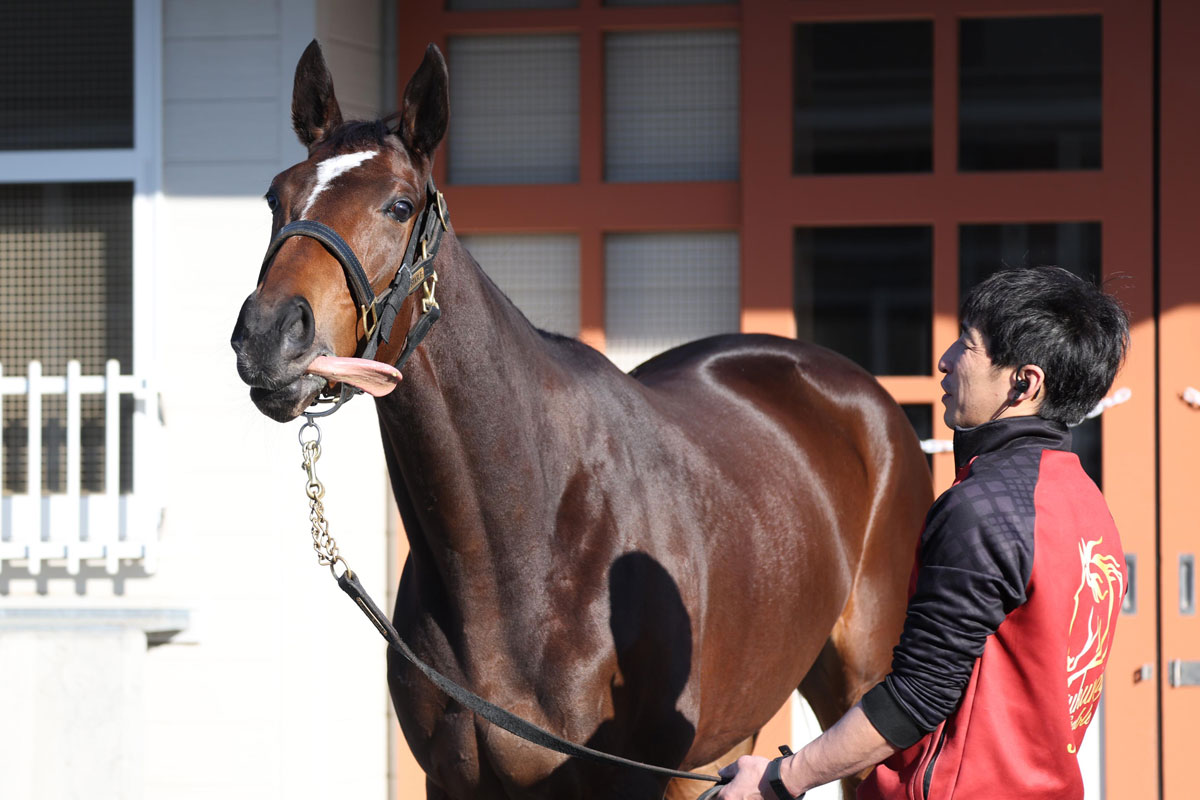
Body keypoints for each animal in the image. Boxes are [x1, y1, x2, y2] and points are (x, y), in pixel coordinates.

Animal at [231, 40, 932, 800]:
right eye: (276, 196)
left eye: (399, 205)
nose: (269, 337)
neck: (520, 551)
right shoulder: (452, 783)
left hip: (858, 690)